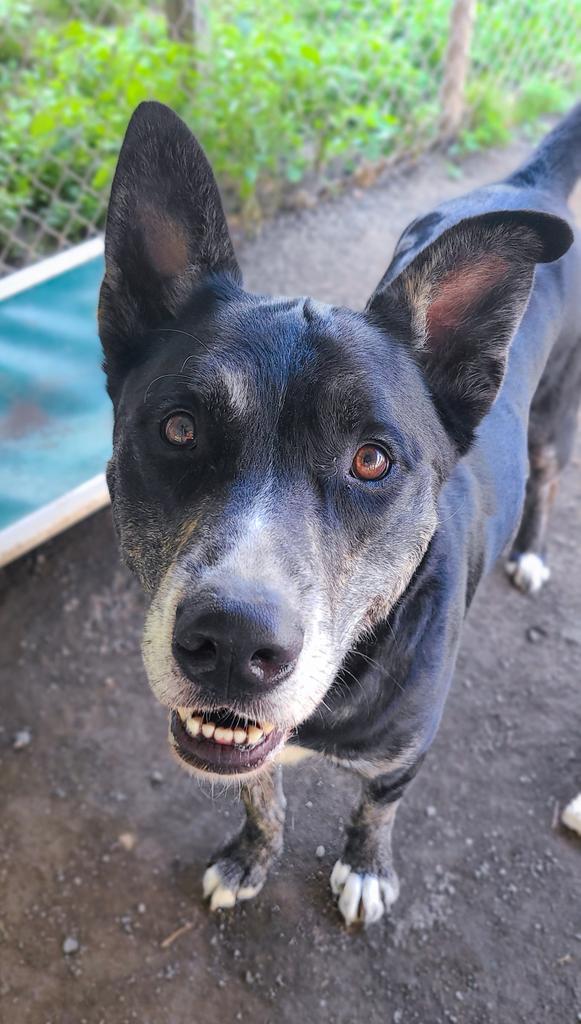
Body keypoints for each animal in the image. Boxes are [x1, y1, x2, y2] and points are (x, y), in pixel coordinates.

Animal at [98, 103, 581, 929]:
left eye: (372, 460)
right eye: (179, 429)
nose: (232, 642)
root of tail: (526, 184)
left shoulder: (404, 754)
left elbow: (377, 807)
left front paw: (363, 868)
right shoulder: (247, 753)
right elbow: (260, 797)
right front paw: (249, 858)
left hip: (555, 415)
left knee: (547, 479)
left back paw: (529, 552)